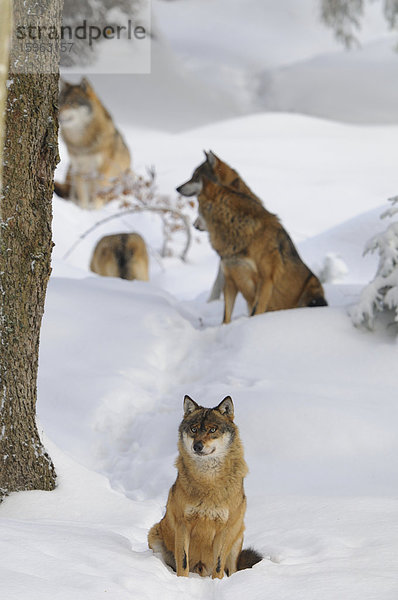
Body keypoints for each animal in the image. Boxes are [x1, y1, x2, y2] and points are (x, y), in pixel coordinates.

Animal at [54, 77, 131, 210]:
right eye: (60, 102)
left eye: (71, 103)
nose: (57, 114)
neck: (82, 142)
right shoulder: (79, 170)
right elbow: (82, 197)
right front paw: (83, 210)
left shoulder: (101, 171)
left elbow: (98, 195)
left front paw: (94, 210)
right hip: (71, 172)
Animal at [147, 396, 262, 580]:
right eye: (193, 429)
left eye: (212, 429)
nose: (197, 446)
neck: (208, 480)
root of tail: (200, 570)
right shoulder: (182, 524)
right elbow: (183, 561)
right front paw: (182, 581)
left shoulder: (224, 529)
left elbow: (218, 566)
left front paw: (217, 582)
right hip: (154, 534)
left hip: (237, 536)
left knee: (231, 568)